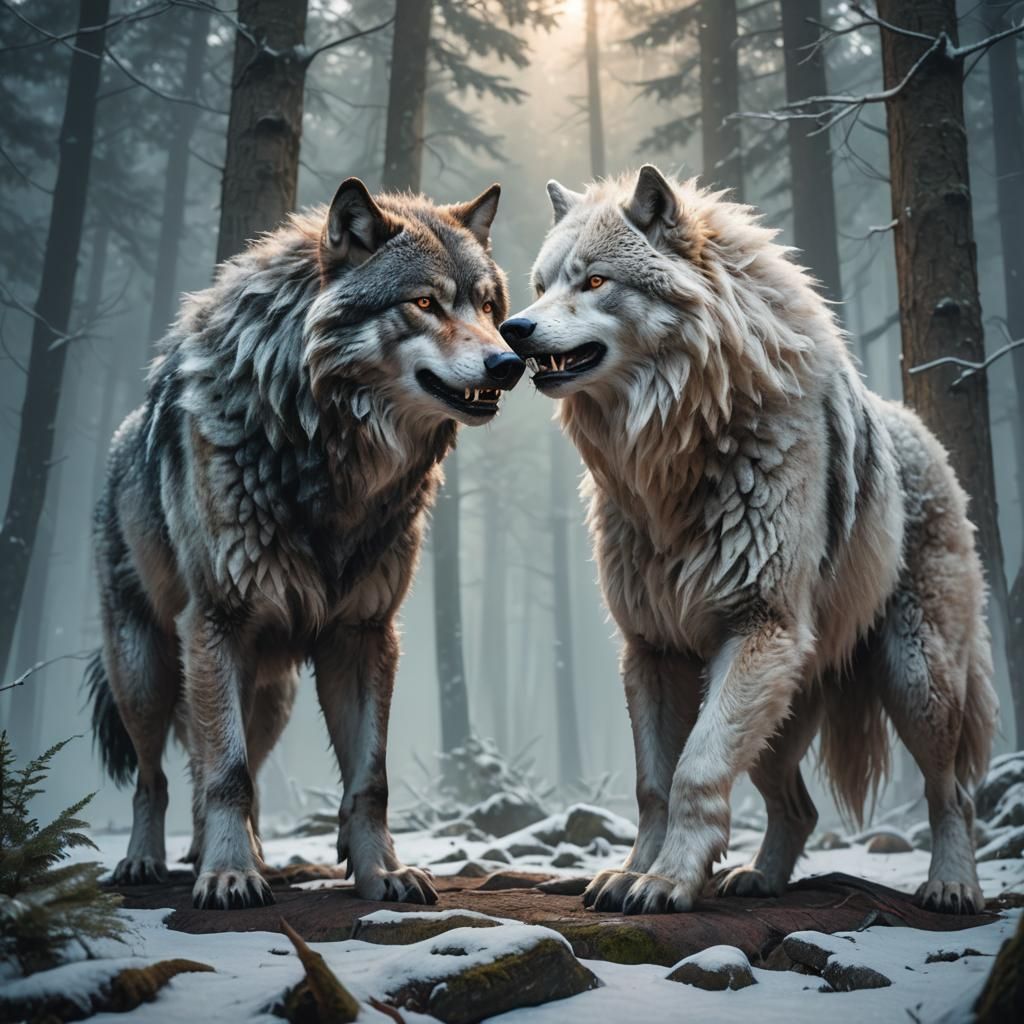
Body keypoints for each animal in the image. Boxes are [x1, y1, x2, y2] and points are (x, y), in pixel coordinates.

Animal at [87, 178, 523, 910]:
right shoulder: (218, 621)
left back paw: (229, 852)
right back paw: (149, 861)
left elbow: (368, 780)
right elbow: (226, 773)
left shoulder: (365, 633)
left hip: (272, 696)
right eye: (425, 302)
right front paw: (230, 876)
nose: (511, 362)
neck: (329, 458)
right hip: (149, 671)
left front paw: (382, 873)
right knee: (162, 775)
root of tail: (119, 439)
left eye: (489, 307)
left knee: (227, 765)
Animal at [500, 166, 998, 915]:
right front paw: (633, 872)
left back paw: (952, 884)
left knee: (955, 793)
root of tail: (922, 432)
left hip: (915, 680)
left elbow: (695, 772)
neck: (676, 458)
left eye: (593, 282)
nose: (512, 327)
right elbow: (653, 785)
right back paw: (759, 879)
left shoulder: (756, 628)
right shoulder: (653, 649)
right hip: (782, 705)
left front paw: (666, 881)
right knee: (801, 808)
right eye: (540, 284)